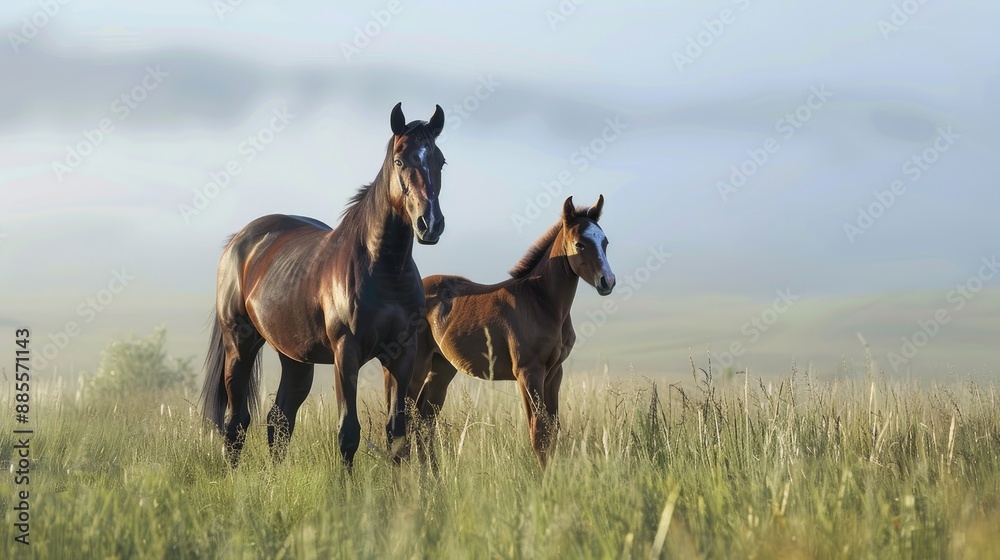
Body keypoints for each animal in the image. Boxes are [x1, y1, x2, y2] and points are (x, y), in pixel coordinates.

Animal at [200, 102, 447, 469]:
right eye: (400, 160)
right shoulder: (346, 353)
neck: (385, 270)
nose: (429, 223)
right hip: (239, 347)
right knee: (236, 423)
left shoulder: (402, 355)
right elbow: (348, 433)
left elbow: (397, 435)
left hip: (295, 358)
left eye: (440, 160)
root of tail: (238, 242)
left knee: (279, 420)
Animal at [408, 195, 615, 466]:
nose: (607, 281)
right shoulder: (528, 372)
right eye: (579, 244)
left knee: (424, 420)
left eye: (605, 241)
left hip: (441, 368)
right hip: (414, 367)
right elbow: (539, 433)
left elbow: (553, 430)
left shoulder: (554, 373)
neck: (541, 300)